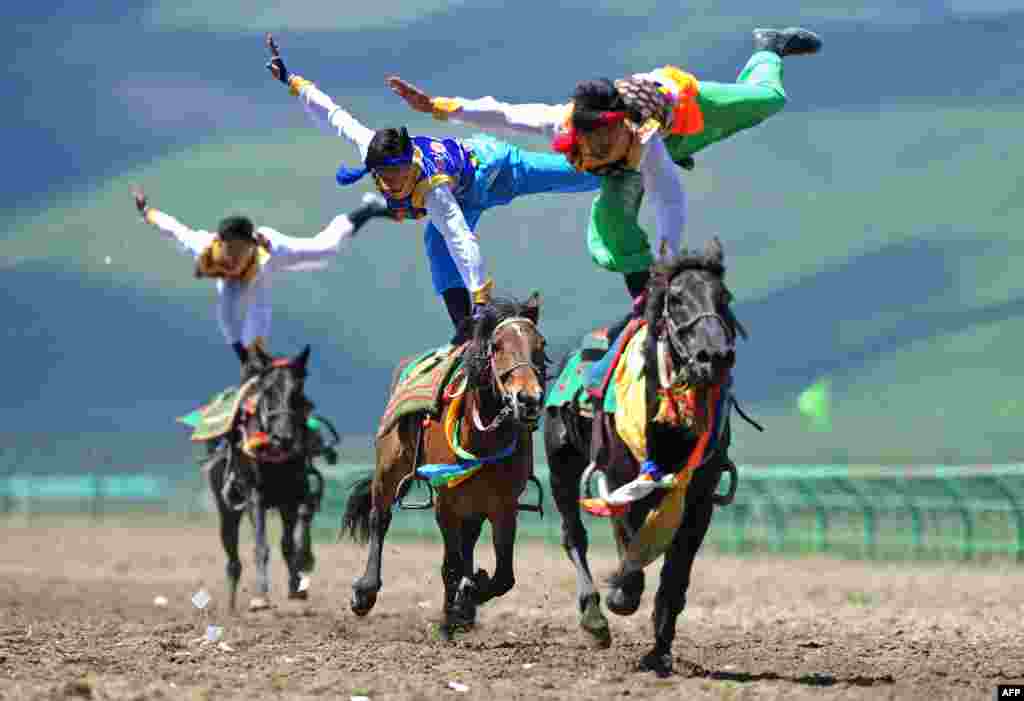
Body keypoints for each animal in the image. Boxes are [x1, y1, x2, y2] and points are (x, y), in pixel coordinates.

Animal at [207, 343, 331, 614]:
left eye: (298, 392)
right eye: (268, 391)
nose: (283, 437)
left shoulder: (292, 497)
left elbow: (290, 543)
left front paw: (297, 584)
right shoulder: (255, 496)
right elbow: (261, 545)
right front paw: (261, 596)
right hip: (227, 507)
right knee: (232, 555)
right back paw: (231, 604)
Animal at [344, 292, 548, 638]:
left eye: (541, 345)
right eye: (497, 346)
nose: (528, 399)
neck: (480, 437)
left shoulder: (503, 505)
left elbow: (503, 577)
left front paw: (468, 595)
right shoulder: (446, 501)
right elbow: (451, 563)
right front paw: (459, 602)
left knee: (467, 542)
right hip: (389, 466)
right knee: (379, 518)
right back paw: (366, 592)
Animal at [544, 237, 753, 675]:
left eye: (723, 297)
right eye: (676, 298)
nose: (714, 355)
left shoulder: (699, 495)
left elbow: (675, 573)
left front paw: (660, 649)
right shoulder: (620, 475)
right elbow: (630, 543)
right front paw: (621, 594)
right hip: (561, 466)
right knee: (574, 534)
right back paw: (594, 616)